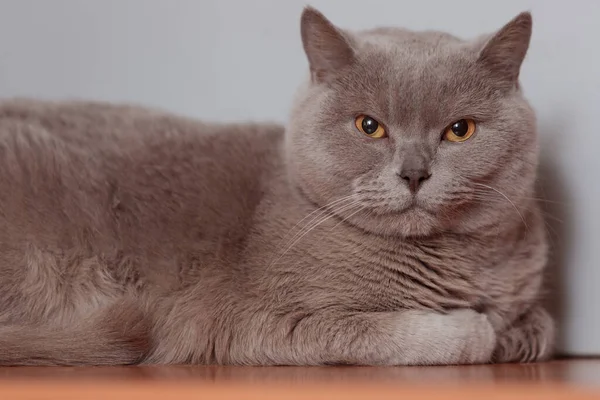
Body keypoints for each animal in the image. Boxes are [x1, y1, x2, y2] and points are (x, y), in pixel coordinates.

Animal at [0, 6, 556, 364]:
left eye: (459, 130)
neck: (466, 263)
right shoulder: (261, 323)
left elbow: (545, 327)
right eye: (369, 126)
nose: (415, 173)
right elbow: (423, 334)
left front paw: (515, 330)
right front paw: (481, 328)